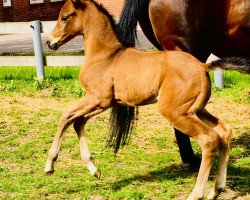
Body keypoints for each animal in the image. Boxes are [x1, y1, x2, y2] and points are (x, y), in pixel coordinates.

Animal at [45, 0, 236, 199]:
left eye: (64, 17)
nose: (50, 42)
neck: (106, 56)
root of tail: (202, 66)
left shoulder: (97, 98)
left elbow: (66, 116)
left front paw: (50, 165)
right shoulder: (105, 103)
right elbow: (77, 122)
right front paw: (94, 170)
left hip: (175, 112)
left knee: (209, 139)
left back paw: (196, 194)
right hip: (195, 110)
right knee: (224, 131)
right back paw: (216, 190)